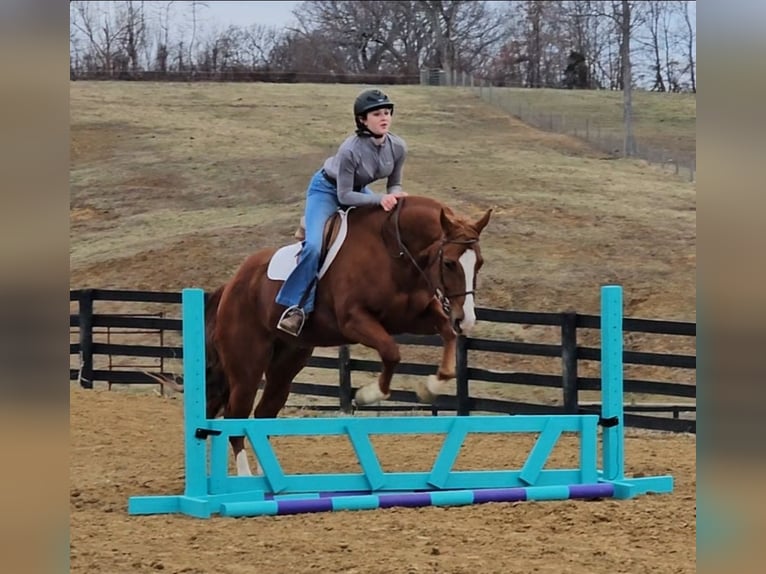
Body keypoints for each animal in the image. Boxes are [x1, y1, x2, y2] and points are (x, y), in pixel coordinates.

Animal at [201, 196, 491, 476]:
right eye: (449, 263)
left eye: (479, 263)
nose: (466, 319)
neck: (396, 252)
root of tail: (232, 284)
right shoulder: (354, 320)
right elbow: (391, 352)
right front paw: (368, 395)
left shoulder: (410, 317)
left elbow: (446, 334)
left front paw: (431, 386)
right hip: (247, 366)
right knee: (235, 415)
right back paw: (245, 478)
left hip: (287, 363)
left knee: (264, 413)